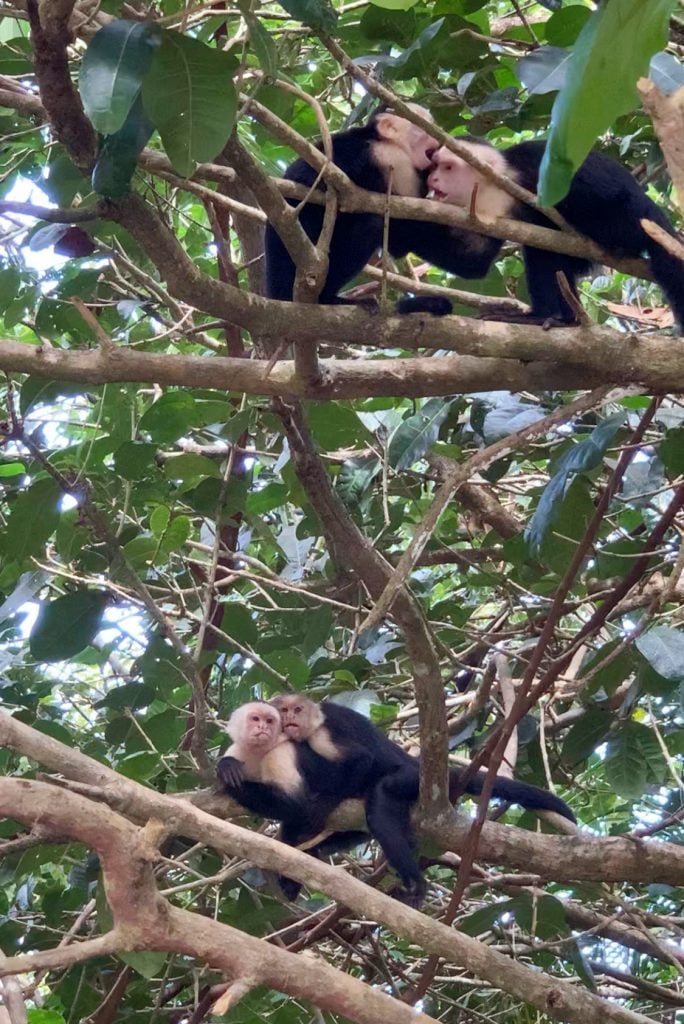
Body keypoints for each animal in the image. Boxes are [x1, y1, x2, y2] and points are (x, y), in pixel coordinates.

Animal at [408, 139, 684, 329]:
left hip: (629, 221)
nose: (432, 179)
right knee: (545, 254)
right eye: (434, 166)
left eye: (447, 167)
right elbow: (473, 262)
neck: (494, 186)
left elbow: (597, 186)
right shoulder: (482, 209)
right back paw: (558, 317)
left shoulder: (529, 165)